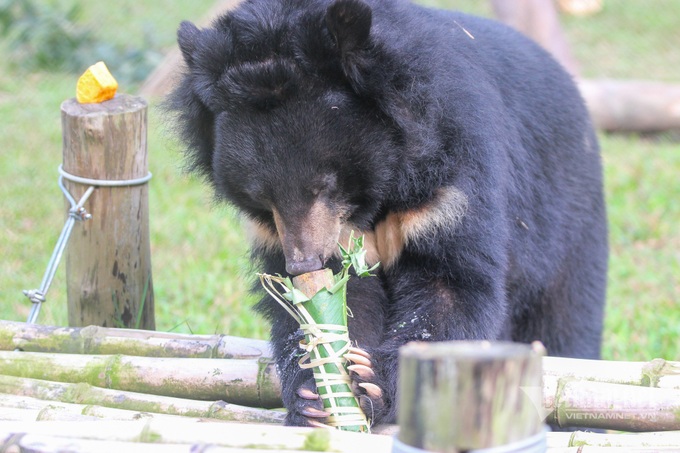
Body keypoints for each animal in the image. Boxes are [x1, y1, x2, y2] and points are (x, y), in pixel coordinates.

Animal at [167, 0, 608, 426]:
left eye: (324, 184)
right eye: (260, 195)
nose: (302, 263)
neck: (377, 194)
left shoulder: (450, 178)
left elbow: (452, 286)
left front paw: (373, 382)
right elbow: (332, 302)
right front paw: (313, 393)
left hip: (567, 220)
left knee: (566, 320)